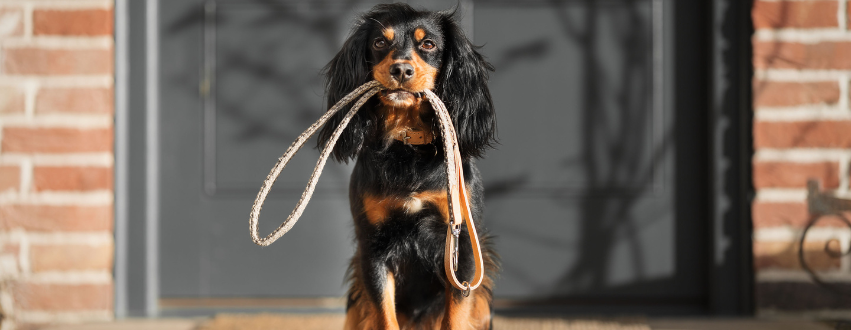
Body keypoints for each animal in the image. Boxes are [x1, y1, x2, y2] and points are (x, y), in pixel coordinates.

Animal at [320, 3, 502, 330]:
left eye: (428, 44)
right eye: (380, 42)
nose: (401, 70)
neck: (408, 143)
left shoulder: (462, 250)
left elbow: (455, 317)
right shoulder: (373, 249)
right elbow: (384, 315)